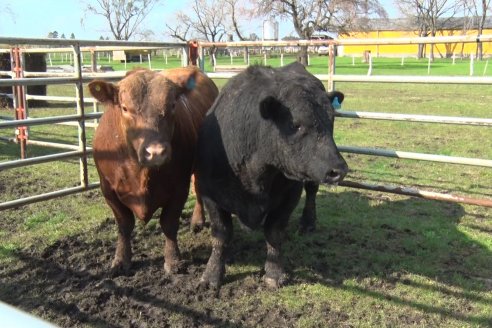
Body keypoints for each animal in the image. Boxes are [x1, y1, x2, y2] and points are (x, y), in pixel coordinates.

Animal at [89, 66, 219, 274]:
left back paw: (197, 221)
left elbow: (169, 223)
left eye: (172, 105)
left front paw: (173, 261)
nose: (156, 152)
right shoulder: (108, 189)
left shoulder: (179, 188)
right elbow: (124, 224)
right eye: (125, 108)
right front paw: (121, 260)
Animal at [194, 62, 348, 290]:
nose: (339, 169)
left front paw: (274, 273)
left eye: (331, 121)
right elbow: (221, 234)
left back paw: (308, 222)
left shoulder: (290, 195)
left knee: (312, 190)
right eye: (295, 124)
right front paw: (212, 274)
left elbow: (274, 232)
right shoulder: (210, 193)